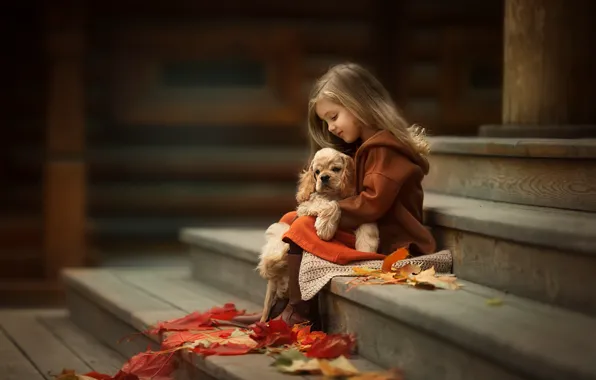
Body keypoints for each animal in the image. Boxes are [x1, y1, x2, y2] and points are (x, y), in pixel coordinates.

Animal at [255, 147, 378, 322]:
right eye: (317, 172)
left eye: (336, 169)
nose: (324, 177)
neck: (334, 194)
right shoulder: (307, 205)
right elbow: (330, 204)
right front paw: (325, 229)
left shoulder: (358, 212)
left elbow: (368, 224)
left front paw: (366, 250)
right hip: (276, 241)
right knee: (270, 264)